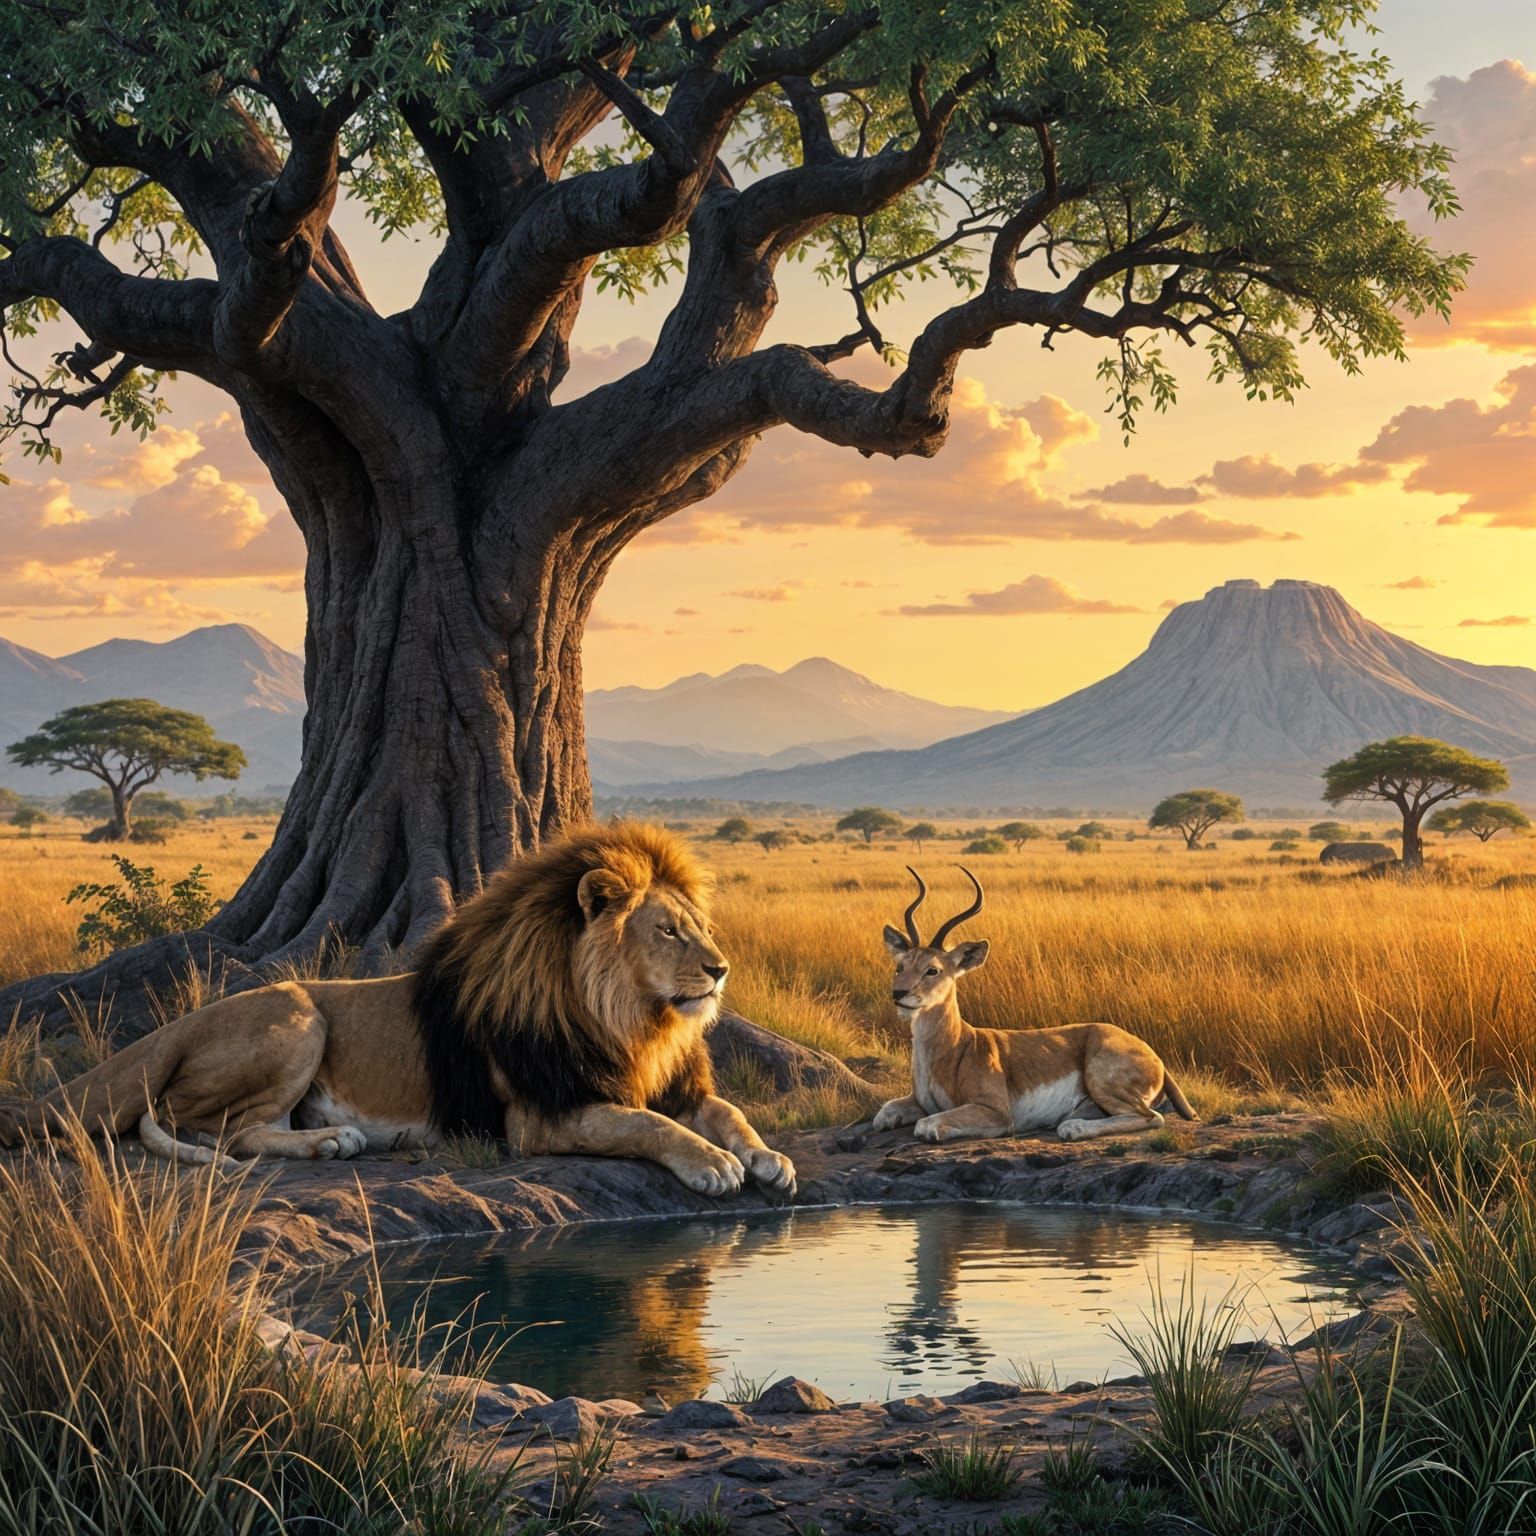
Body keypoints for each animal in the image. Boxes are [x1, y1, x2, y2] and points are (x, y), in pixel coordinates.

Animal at [0, 822, 796, 1198]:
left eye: (698, 924)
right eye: (667, 931)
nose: (721, 970)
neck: (634, 1020)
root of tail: (181, 1025)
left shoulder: (673, 1080)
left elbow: (724, 1110)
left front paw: (769, 1157)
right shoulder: (542, 1115)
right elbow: (645, 1124)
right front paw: (713, 1165)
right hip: (298, 1019)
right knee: (208, 1127)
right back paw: (331, 1143)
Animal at [872, 868, 1196, 1144]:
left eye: (933, 970)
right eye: (900, 966)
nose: (899, 993)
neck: (955, 1046)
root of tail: (1155, 1057)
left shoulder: (996, 1112)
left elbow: (926, 1125)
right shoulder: (915, 1102)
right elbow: (882, 1114)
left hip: (1102, 1081)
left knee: (1152, 1118)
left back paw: (1074, 1128)